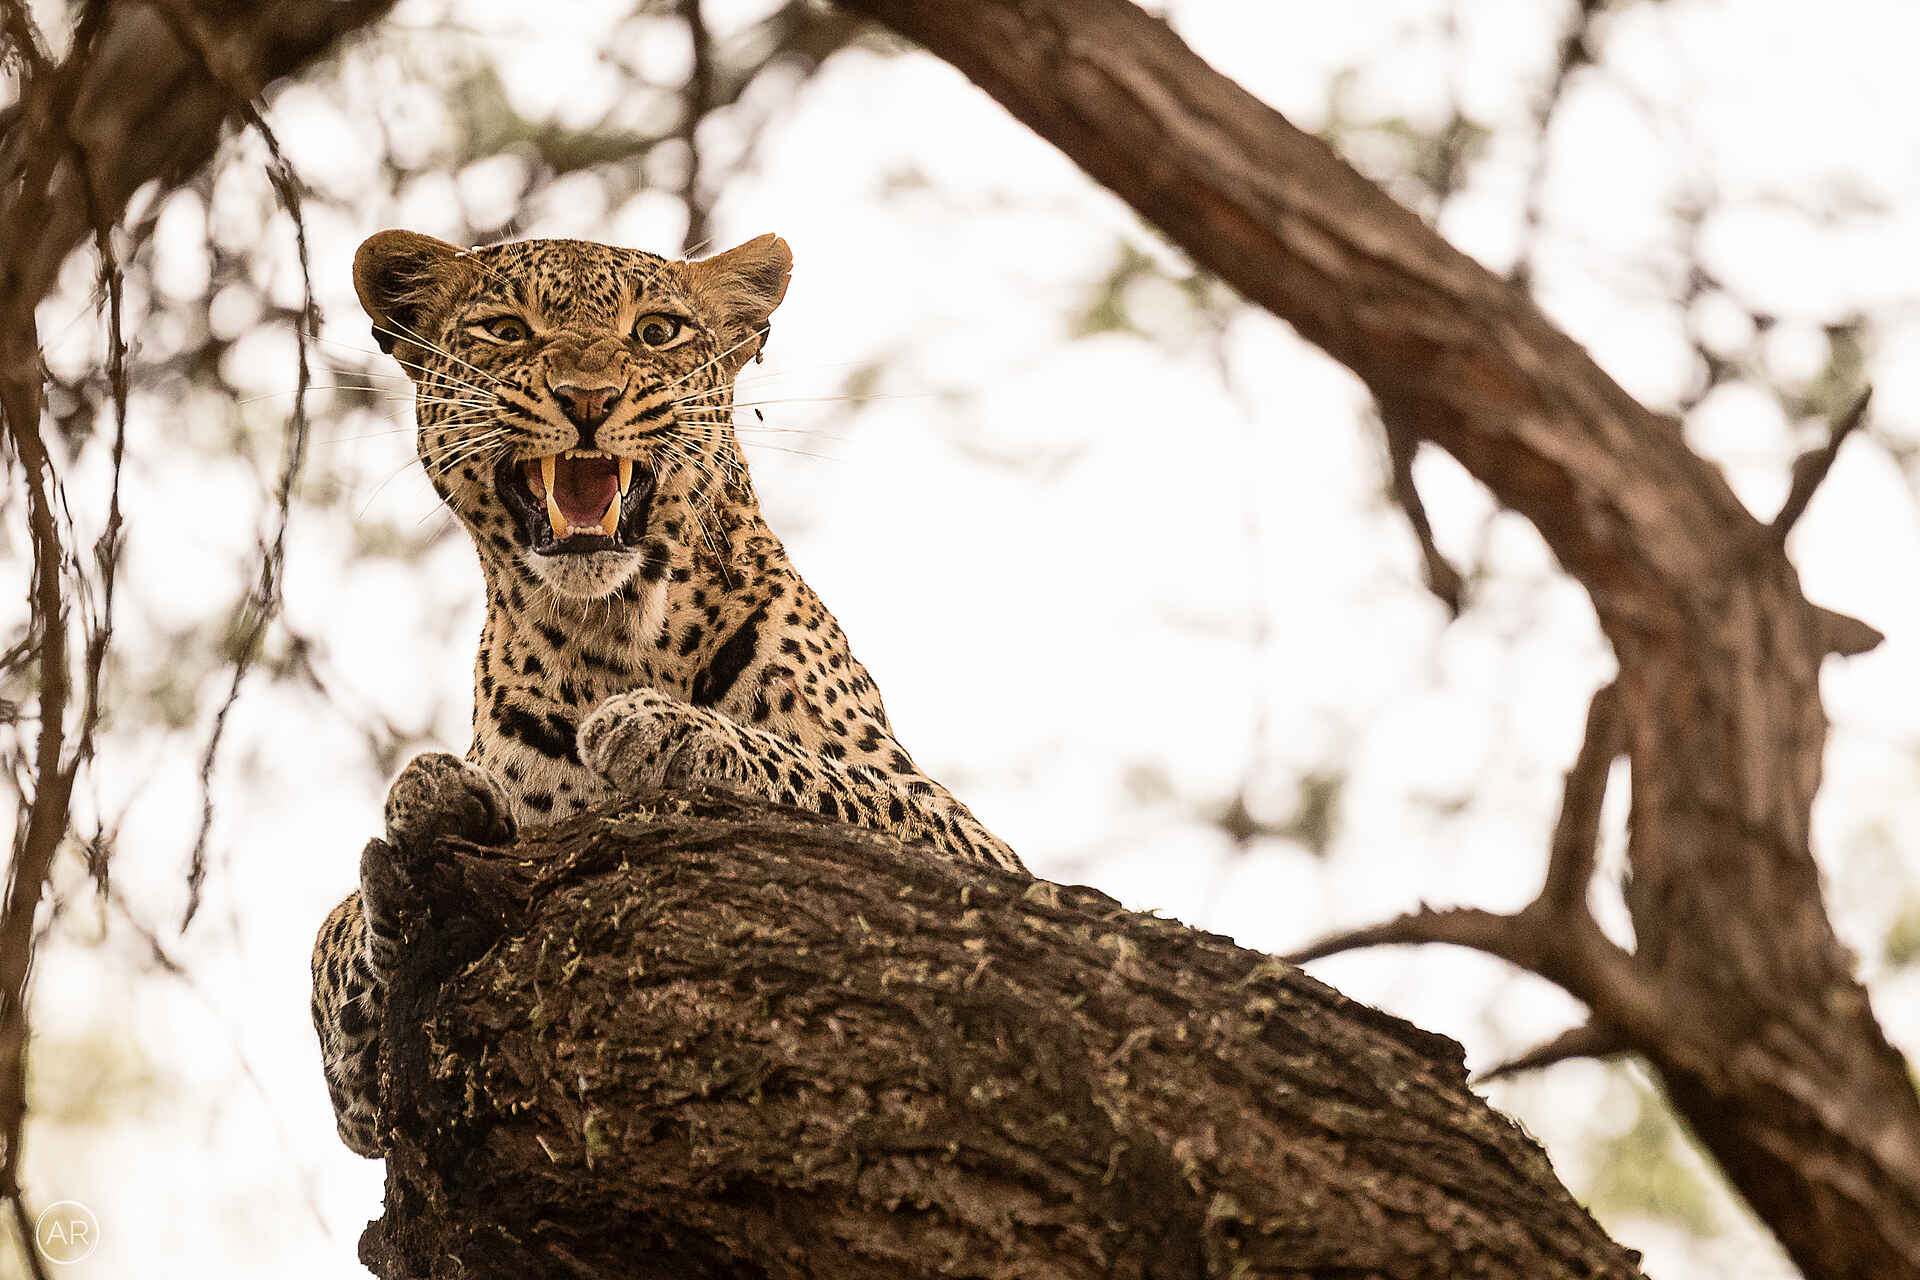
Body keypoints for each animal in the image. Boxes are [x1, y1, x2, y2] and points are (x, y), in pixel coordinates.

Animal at [310, 230, 1026, 1158]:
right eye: (507, 331)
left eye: (655, 332)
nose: (587, 397)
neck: (615, 635)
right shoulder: (362, 1102)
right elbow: (330, 954)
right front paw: (421, 813)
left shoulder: (974, 847)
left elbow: (836, 781)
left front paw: (663, 730)